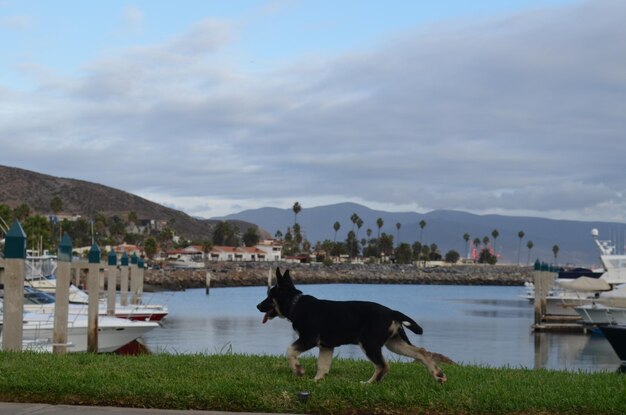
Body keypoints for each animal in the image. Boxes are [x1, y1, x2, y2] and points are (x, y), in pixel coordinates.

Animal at [256, 268, 446, 386]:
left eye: (269, 296)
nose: (257, 306)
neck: (296, 304)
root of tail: (393, 312)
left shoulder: (309, 338)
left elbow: (290, 351)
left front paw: (298, 370)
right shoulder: (326, 346)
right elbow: (322, 366)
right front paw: (316, 382)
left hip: (369, 343)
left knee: (383, 366)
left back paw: (369, 384)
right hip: (394, 343)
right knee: (421, 352)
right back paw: (438, 375)